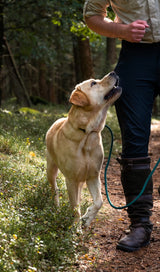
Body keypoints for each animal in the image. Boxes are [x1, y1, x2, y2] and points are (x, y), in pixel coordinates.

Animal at [45, 71, 122, 226]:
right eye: (93, 83)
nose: (114, 72)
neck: (88, 133)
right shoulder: (71, 180)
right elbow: (75, 209)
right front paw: (76, 228)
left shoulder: (93, 176)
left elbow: (99, 202)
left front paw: (87, 218)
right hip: (51, 169)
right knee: (54, 189)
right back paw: (56, 208)